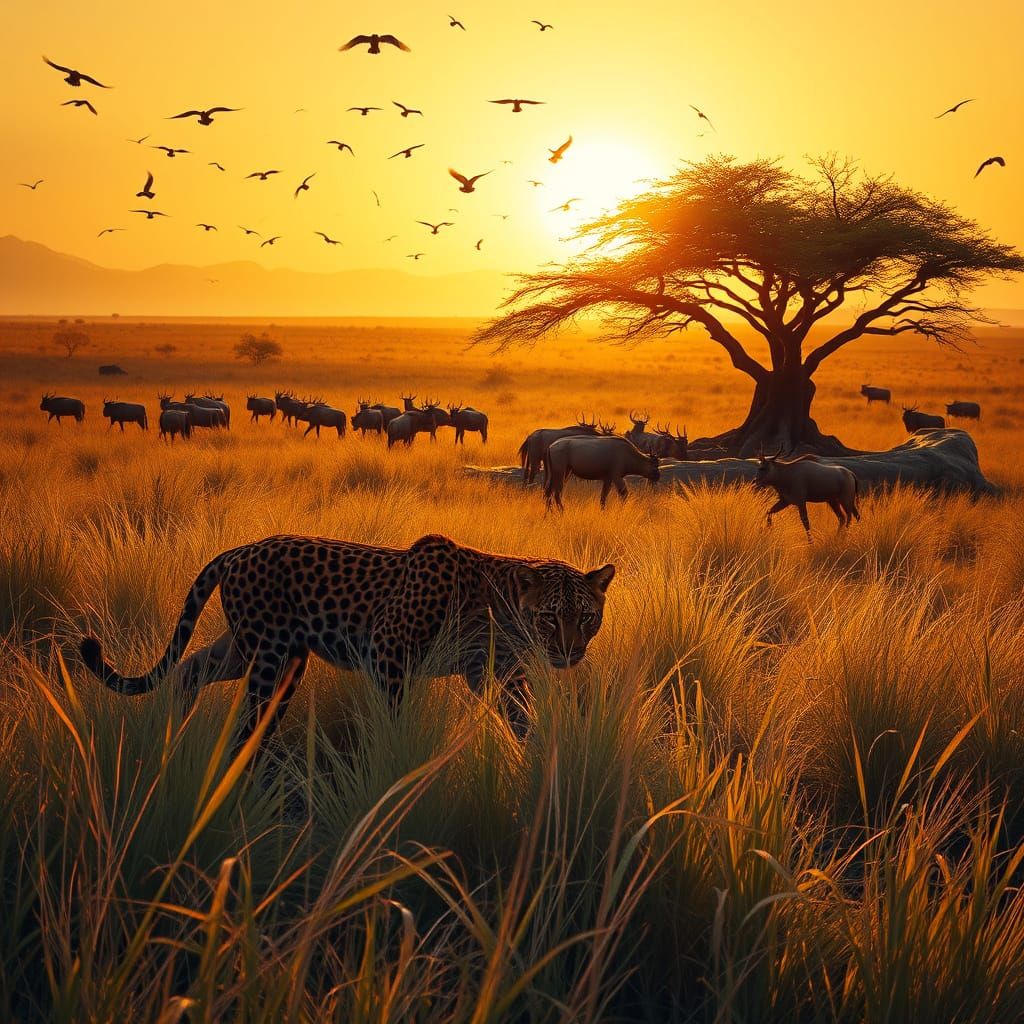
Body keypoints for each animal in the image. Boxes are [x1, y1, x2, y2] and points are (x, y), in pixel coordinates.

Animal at [80, 533, 615, 748]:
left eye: (587, 617)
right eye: (551, 617)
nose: (570, 652)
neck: (498, 606)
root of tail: (242, 548)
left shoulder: (493, 671)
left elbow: (522, 716)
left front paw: (540, 757)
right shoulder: (387, 649)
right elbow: (394, 713)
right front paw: (397, 757)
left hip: (256, 648)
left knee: (190, 667)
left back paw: (176, 725)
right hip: (271, 659)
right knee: (250, 717)